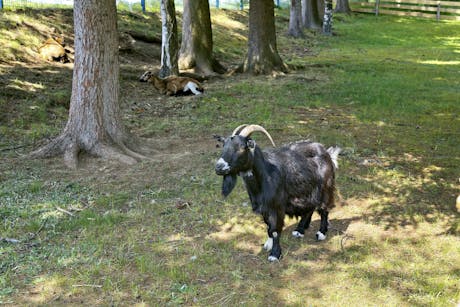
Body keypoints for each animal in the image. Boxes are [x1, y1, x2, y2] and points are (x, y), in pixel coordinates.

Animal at [214, 125, 340, 262]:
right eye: (224, 145)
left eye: (242, 147)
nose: (219, 167)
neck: (266, 174)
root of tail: (327, 153)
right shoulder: (264, 207)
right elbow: (269, 226)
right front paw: (268, 244)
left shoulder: (277, 206)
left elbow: (275, 230)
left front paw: (275, 254)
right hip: (307, 190)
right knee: (310, 207)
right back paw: (300, 230)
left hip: (325, 187)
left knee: (324, 208)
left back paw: (321, 233)